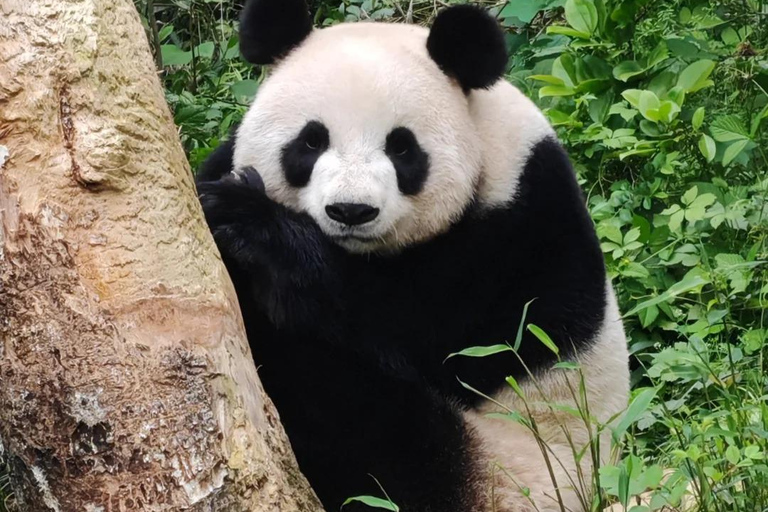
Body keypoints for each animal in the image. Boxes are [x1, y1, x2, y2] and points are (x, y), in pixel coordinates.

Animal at [196, 1, 630, 511]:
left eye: (402, 147)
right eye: (311, 141)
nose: (351, 210)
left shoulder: (516, 234)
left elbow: (404, 326)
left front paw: (255, 226)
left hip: (509, 470)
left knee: (367, 418)